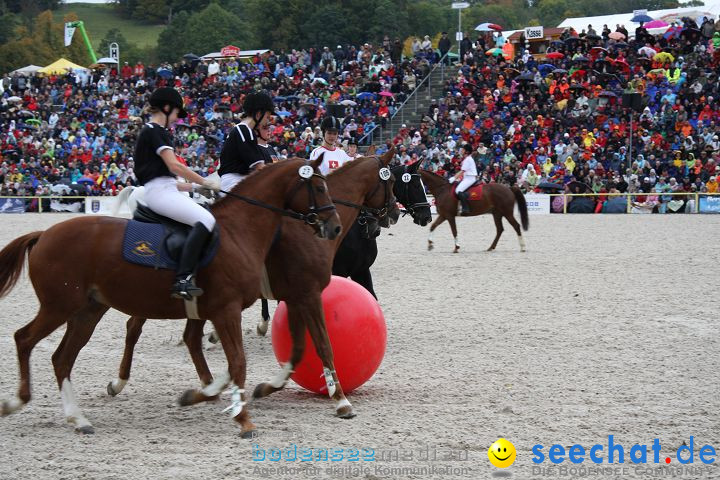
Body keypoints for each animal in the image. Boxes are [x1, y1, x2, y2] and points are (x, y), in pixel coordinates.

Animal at [0, 159, 340, 436]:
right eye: (319, 187)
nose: (334, 226)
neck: (239, 231)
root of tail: (43, 235)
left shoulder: (221, 310)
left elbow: (229, 359)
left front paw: (208, 397)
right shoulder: (227, 310)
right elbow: (238, 362)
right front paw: (243, 420)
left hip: (87, 312)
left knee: (62, 358)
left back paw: (78, 419)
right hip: (59, 307)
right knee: (25, 339)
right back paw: (17, 401)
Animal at [105, 150, 400, 420]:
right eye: (393, 180)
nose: (395, 214)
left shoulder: (296, 297)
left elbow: (298, 350)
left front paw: (268, 386)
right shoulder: (308, 295)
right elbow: (322, 345)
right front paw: (340, 400)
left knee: (189, 338)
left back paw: (207, 386)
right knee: (134, 328)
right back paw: (120, 383)